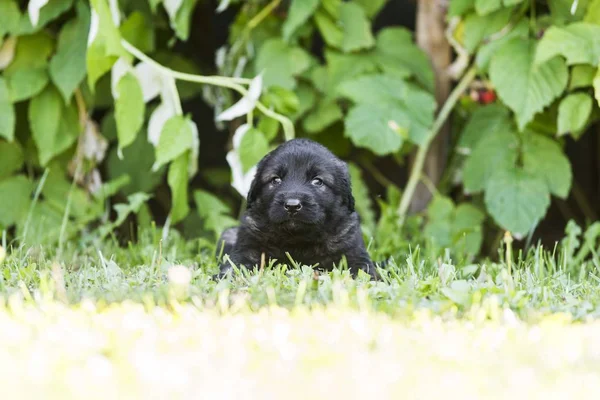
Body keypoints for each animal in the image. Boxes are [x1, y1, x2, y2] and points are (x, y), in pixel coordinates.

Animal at [213, 139, 378, 280]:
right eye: (275, 179)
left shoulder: (351, 251)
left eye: (317, 181)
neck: (297, 239)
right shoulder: (249, 248)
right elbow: (235, 265)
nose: (292, 205)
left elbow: (363, 270)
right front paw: (225, 278)